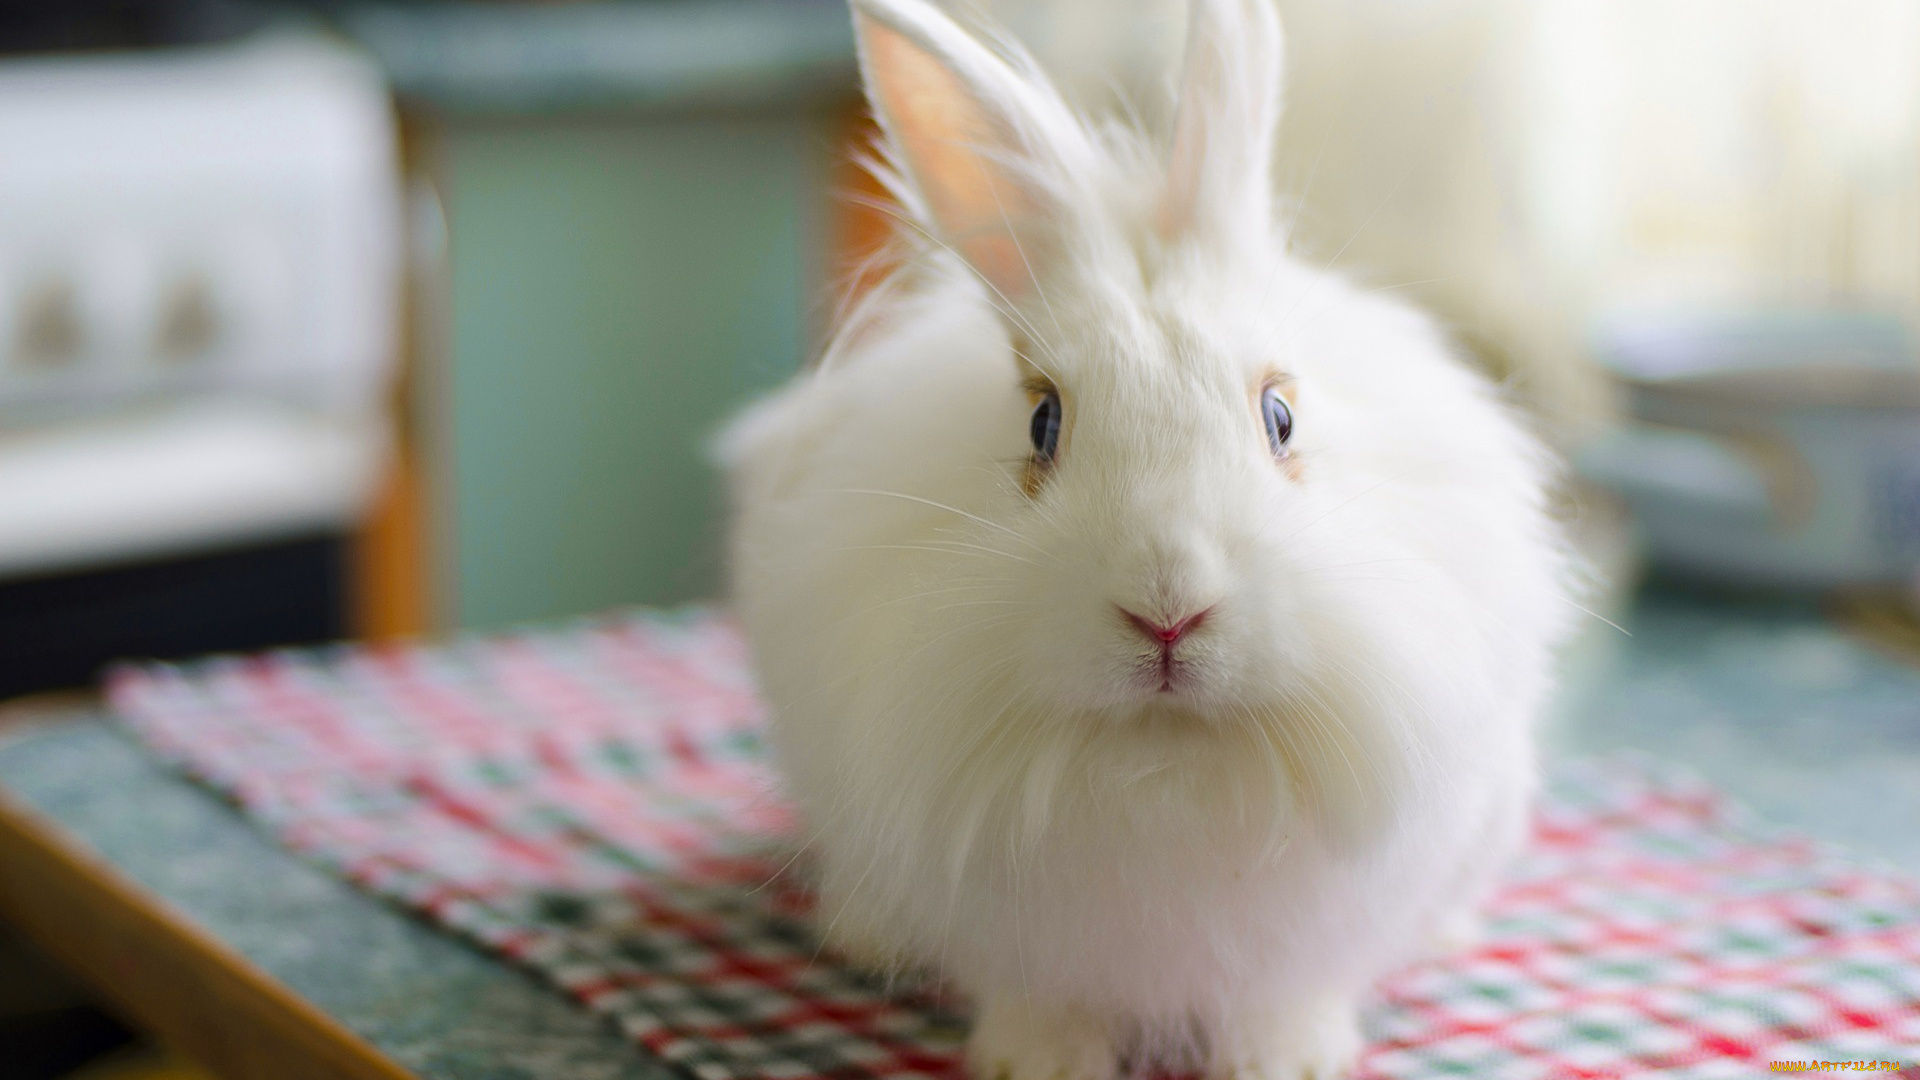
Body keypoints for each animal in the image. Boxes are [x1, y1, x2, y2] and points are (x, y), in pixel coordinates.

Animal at [716, 0, 1573, 1076]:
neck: (1165, 766)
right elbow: (1043, 1003)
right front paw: (1036, 1064)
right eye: (1043, 422)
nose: (1168, 612)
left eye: (1280, 416)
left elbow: (1281, 1002)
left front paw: (1289, 1061)